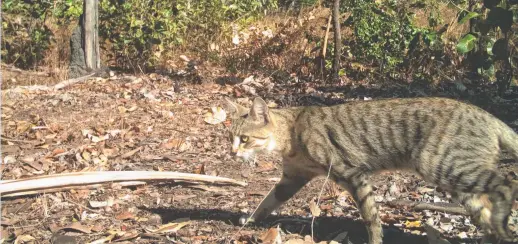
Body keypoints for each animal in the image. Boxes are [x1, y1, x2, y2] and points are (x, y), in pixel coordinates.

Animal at [225, 96, 518, 244]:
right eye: (230, 138)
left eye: (245, 139)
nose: (232, 152)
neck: (292, 134)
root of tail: (489, 116)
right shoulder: (292, 177)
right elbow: (267, 201)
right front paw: (250, 220)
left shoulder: (353, 174)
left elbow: (370, 216)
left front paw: (375, 240)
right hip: (459, 181)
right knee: (487, 209)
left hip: (444, 166)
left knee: (507, 184)